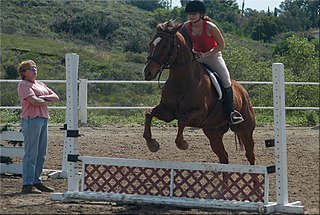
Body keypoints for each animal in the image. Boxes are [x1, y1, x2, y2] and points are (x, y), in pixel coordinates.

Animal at [141, 20, 256, 165]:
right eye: (151, 43)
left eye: (165, 46)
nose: (147, 72)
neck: (181, 81)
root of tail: (243, 91)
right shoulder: (168, 112)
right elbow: (149, 113)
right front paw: (152, 145)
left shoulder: (199, 115)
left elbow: (182, 120)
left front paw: (183, 144)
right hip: (213, 131)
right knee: (223, 156)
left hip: (245, 130)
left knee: (250, 155)